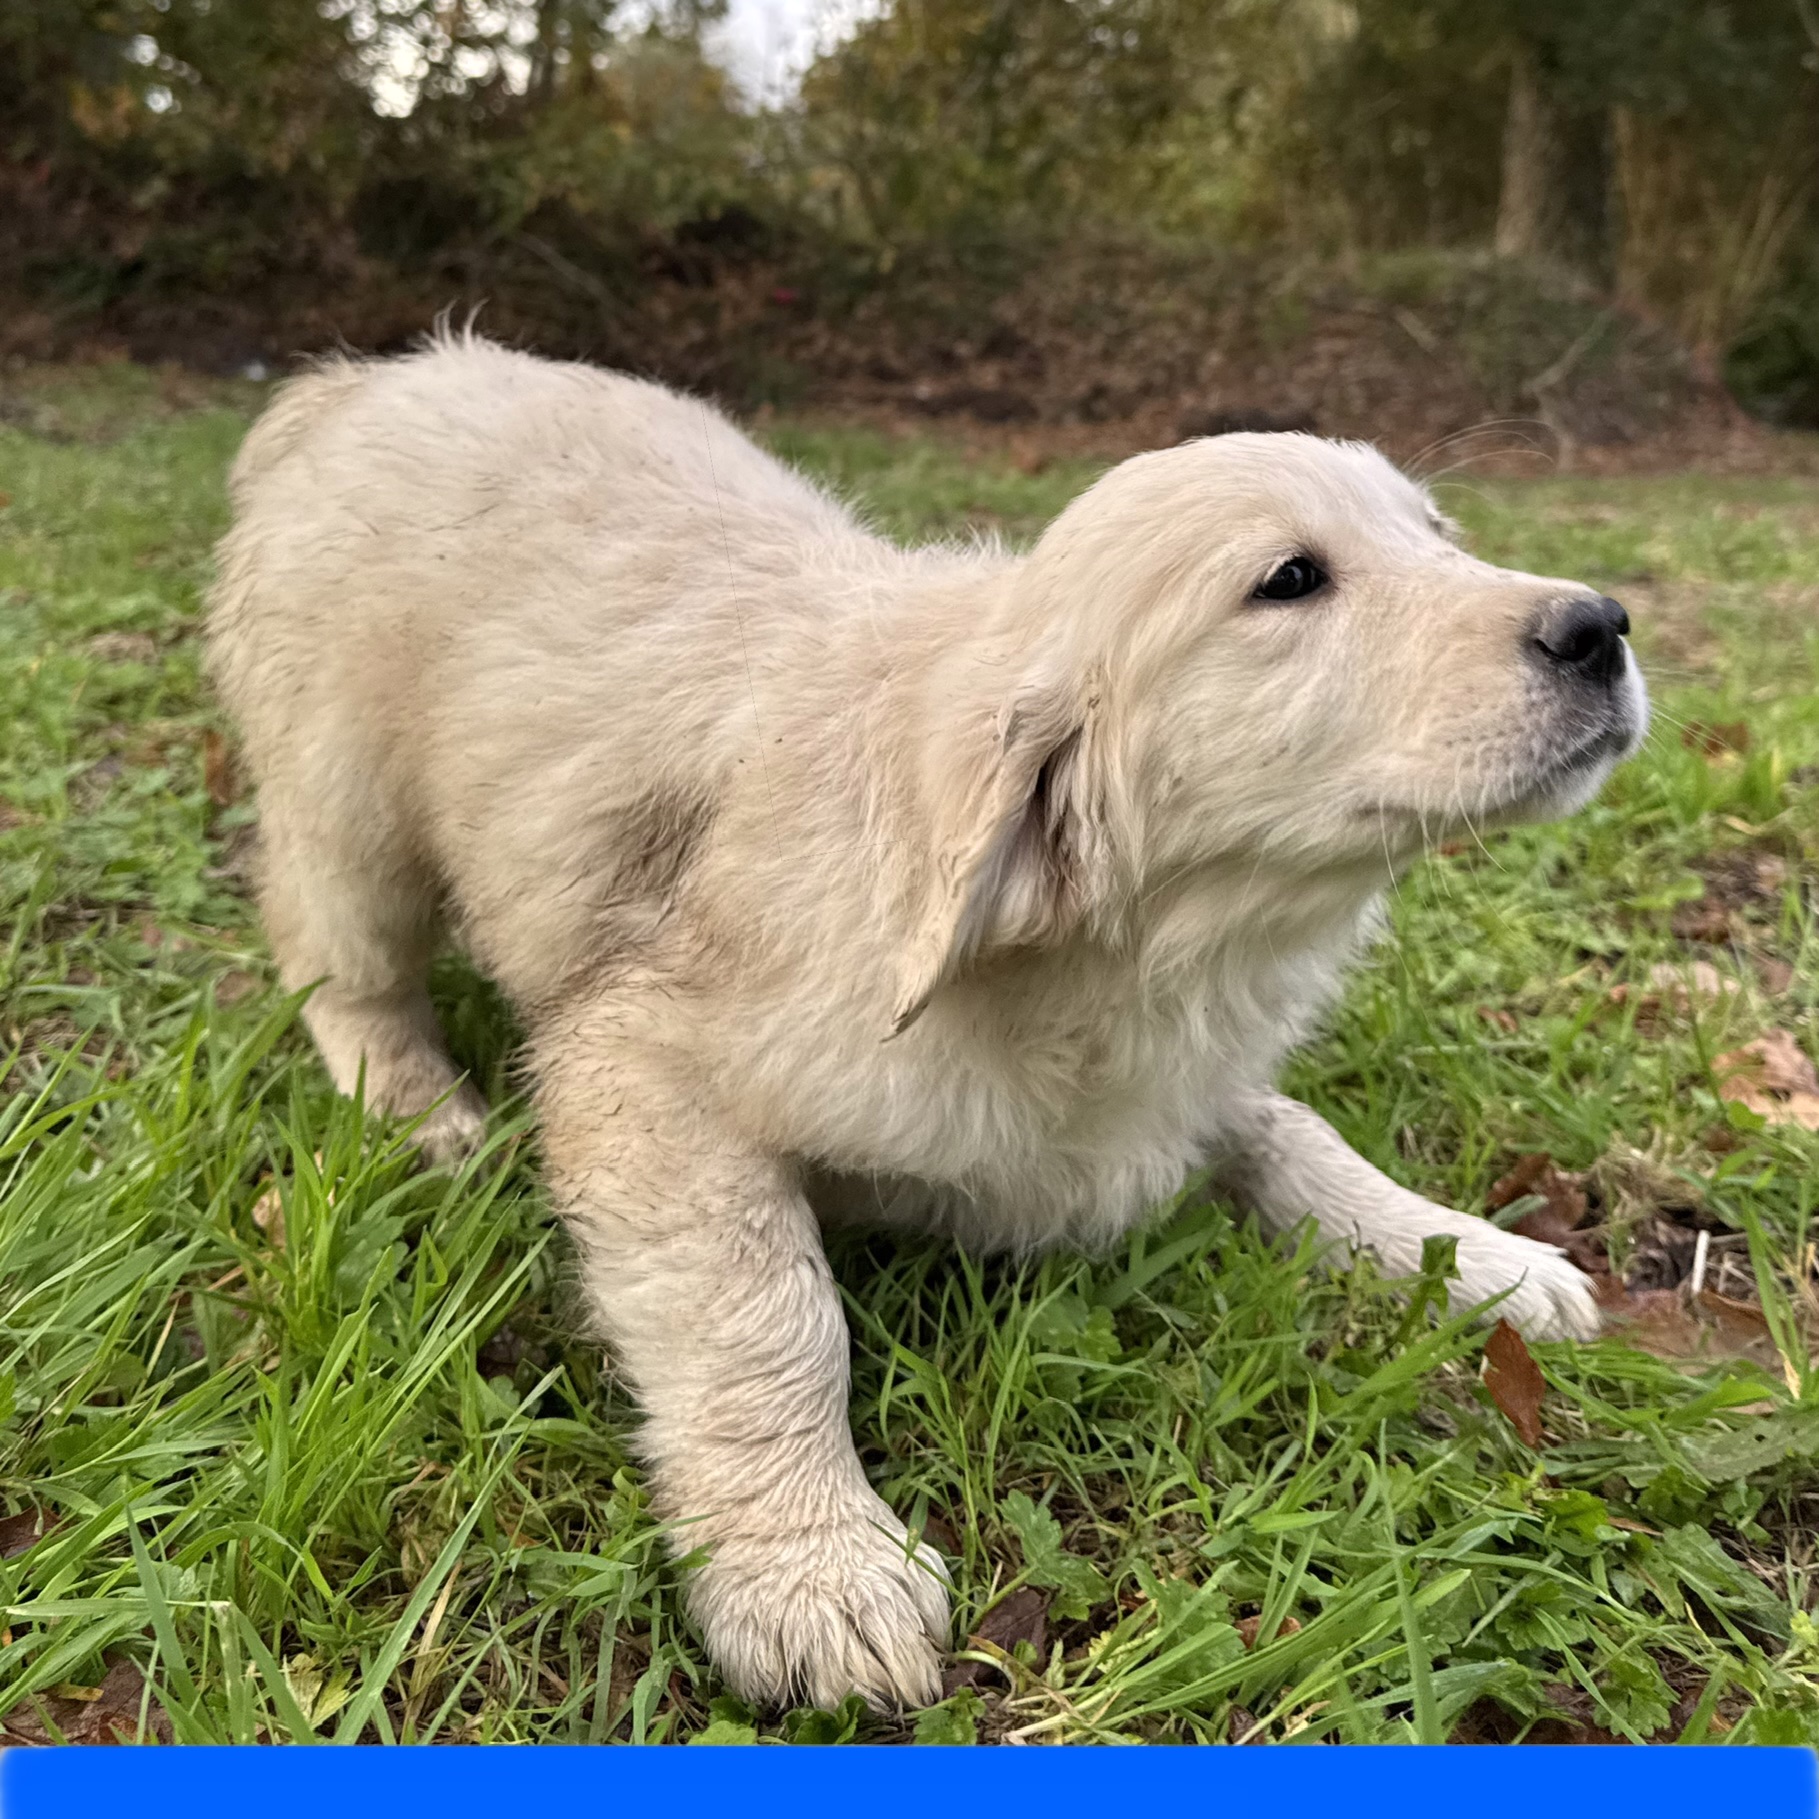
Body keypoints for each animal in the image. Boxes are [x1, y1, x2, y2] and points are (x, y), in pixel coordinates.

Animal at [206, 330, 1646, 1712]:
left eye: (1438, 533)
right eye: (1289, 581)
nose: (1600, 625)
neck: (1124, 962)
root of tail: (371, 380)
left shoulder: (1179, 1078)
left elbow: (1291, 1132)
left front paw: (1471, 1256)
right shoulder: (641, 1064)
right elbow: (768, 1314)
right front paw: (812, 1570)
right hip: (349, 799)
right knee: (329, 946)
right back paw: (416, 1105)